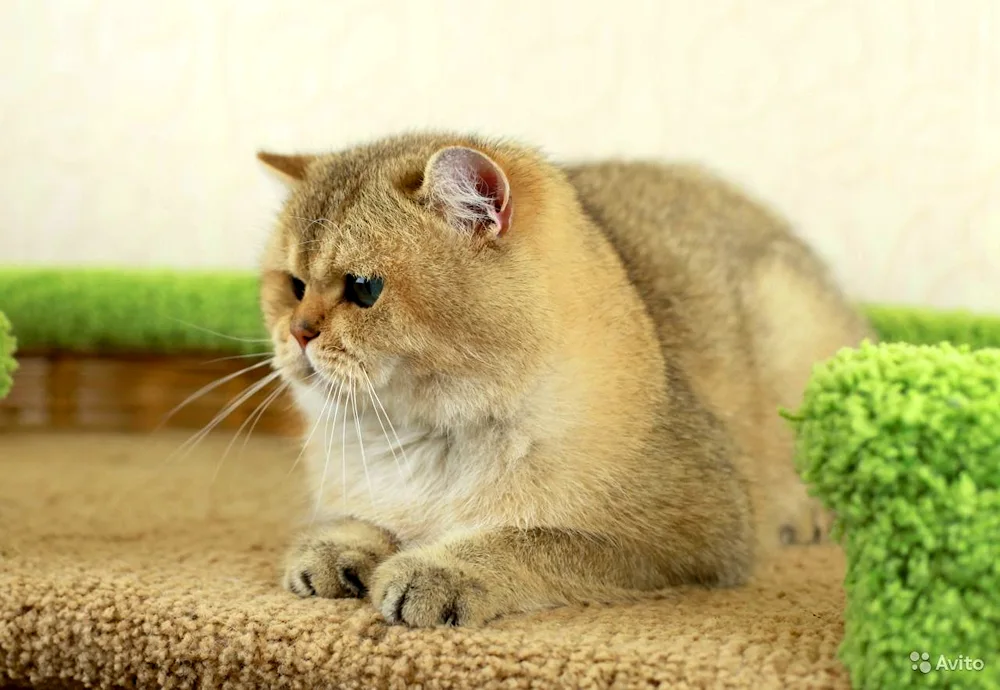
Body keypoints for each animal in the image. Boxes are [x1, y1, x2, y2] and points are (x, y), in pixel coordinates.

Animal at [258, 132, 876, 628]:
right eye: (293, 285)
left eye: (365, 289)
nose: (299, 333)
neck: (425, 435)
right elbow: (363, 522)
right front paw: (337, 547)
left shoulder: (694, 536)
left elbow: (527, 540)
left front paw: (439, 571)